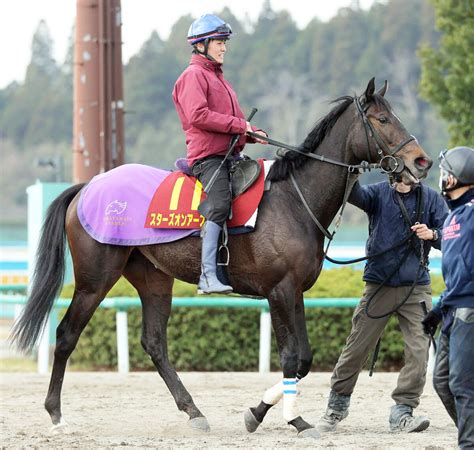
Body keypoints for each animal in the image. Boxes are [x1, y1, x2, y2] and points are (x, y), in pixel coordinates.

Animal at [12, 78, 434, 440]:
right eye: (383, 119)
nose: (422, 161)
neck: (294, 199)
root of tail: (89, 186)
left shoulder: (295, 291)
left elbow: (304, 358)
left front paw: (260, 412)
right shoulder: (278, 292)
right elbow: (291, 356)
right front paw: (292, 420)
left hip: (153, 278)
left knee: (154, 343)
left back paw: (194, 412)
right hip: (95, 279)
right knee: (66, 335)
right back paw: (56, 414)